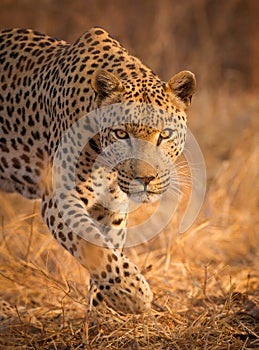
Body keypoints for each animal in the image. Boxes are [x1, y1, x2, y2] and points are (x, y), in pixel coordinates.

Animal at [0, 26, 196, 314]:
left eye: (165, 135)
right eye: (121, 134)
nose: (146, 179)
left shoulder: (111, 206)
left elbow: (108, 247)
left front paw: (104, 310)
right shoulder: (59, 199)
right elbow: (93, 245)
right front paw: (133, 293)